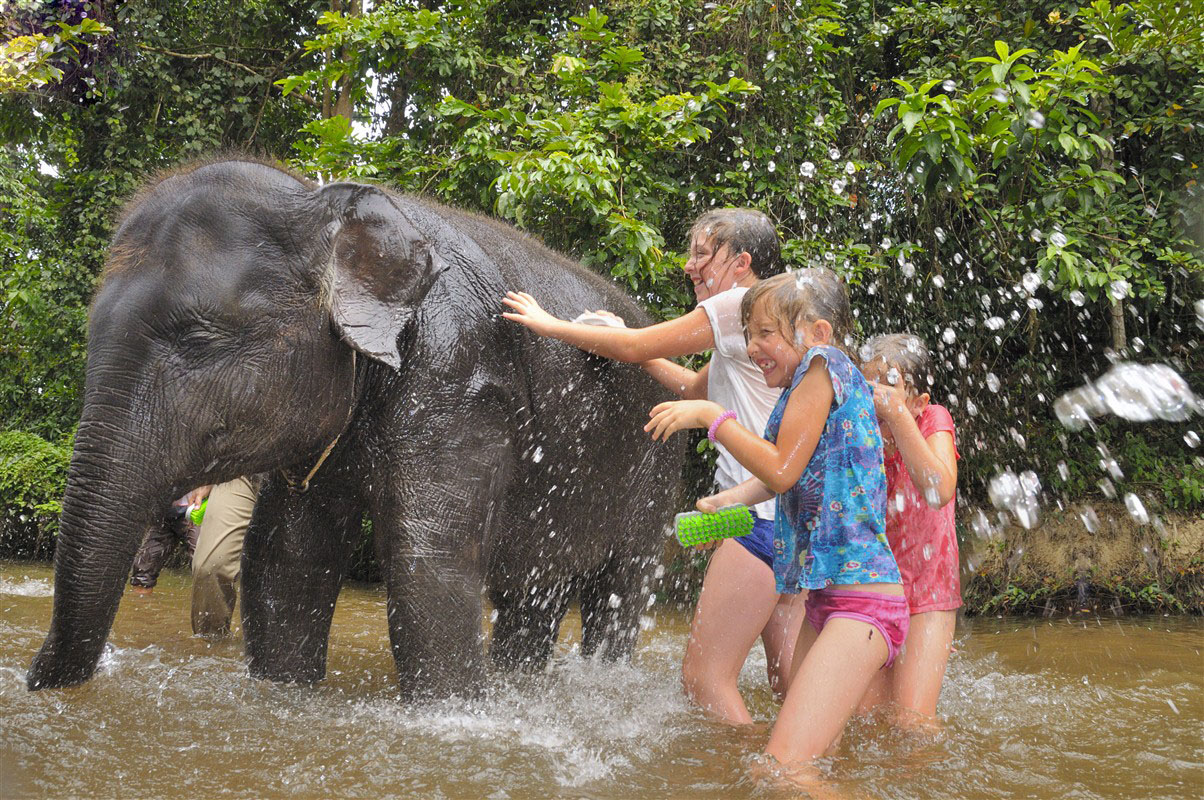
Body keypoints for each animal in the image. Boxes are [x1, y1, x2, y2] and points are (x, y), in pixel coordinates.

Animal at [28, 156, 683, 693]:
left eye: (199, 338)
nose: (35, 680)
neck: (326, 203)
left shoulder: (459, 378)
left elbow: (426, 564)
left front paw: (454, 712)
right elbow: (287, 556)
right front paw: (285, 694)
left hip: (657, 469)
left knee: (620, 586)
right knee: (533, 585)